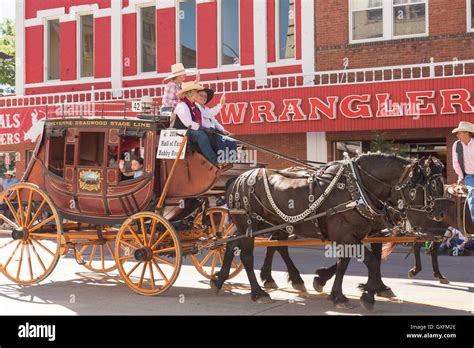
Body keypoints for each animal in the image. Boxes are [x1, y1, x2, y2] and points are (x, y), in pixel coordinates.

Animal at [211, 154, 444, 308]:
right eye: (428, 187)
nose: (440, 217)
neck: (357, 187)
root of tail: (237, 178)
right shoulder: (347, 235)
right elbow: (370, 261)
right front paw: (367, 295)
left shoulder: (354, 234)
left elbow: (345, 263)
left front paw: (336, 291)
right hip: (248, 224)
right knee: (248, 255)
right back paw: (258, 292)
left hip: (263, 224)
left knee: (235, 244)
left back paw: (221, 279)